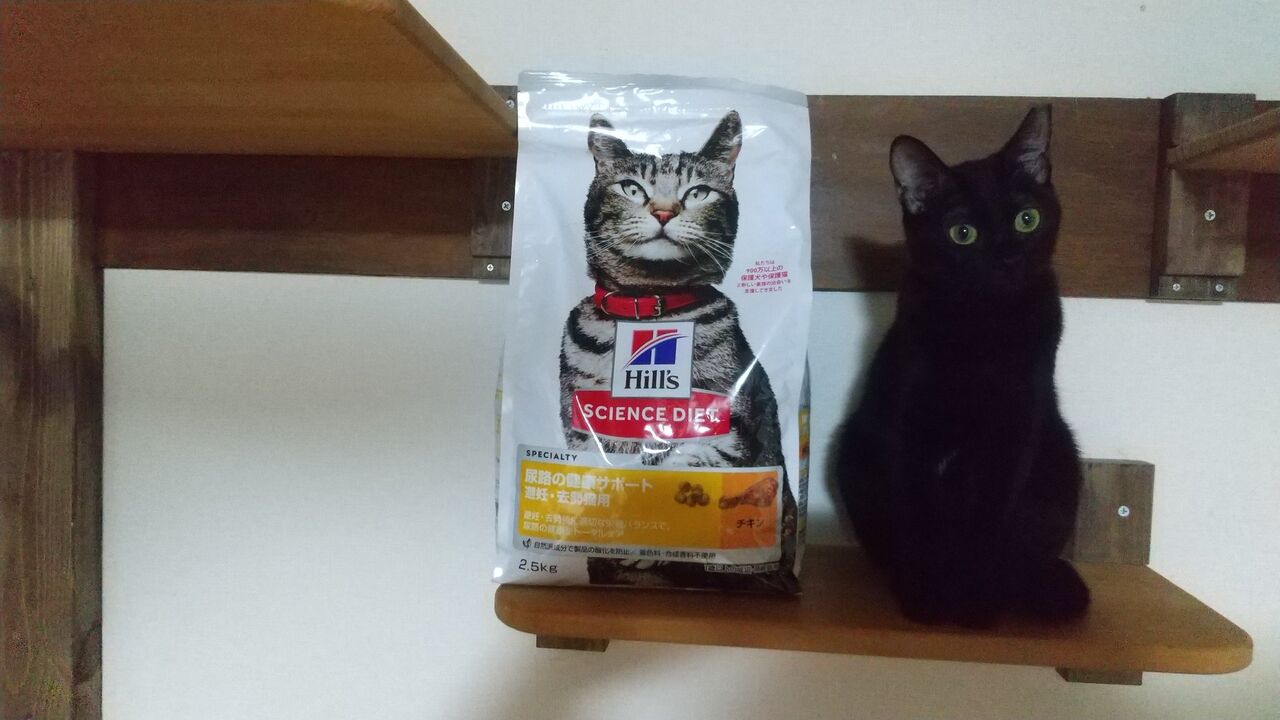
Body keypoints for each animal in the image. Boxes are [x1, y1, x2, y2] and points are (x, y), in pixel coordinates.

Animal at [560, 111, 798, 592]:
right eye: (632, 188)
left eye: (698, 192)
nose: (665, 211)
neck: (648, 309)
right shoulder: (584, 428)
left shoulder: (726, 429)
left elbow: (681, 467)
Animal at [835, 106, 1090, 626]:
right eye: (963, 233)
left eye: (1027, 219)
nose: (1008, 258)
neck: (984, 326)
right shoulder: (911, 422)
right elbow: (920, 516)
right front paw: (926, 596)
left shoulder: (1017, 424)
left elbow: (989, 515)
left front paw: (975, 600)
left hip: (1060, 454)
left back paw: (1041, 585)